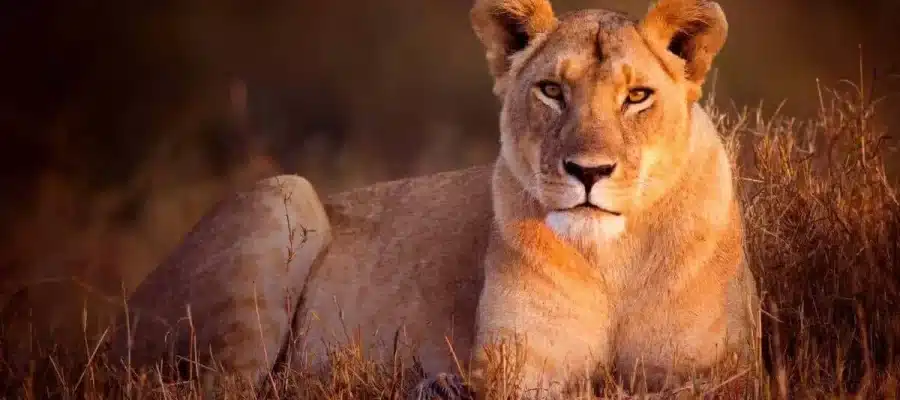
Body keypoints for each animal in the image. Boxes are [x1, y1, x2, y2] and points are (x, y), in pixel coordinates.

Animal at [109, 0, 759, 397]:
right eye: (551, 90)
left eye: (638, 96)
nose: (588, 171)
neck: (611, 260)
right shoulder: (516, 370)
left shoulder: (719, 371)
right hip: (282, 196)